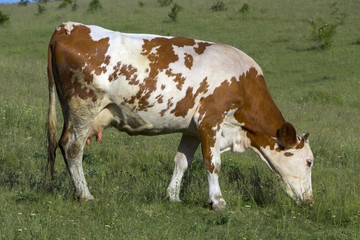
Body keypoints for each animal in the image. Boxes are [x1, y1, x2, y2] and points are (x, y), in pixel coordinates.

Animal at [46, 23, 314, 210]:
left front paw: (173, 196)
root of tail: (68, 27)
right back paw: (85, 195)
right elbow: (213, 163)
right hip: (83, 107)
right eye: (309, 162)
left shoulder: (192, 129)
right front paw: (217, 201)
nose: (311, 200)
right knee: (72, 147)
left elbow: (181, 161)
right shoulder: (211, 120)